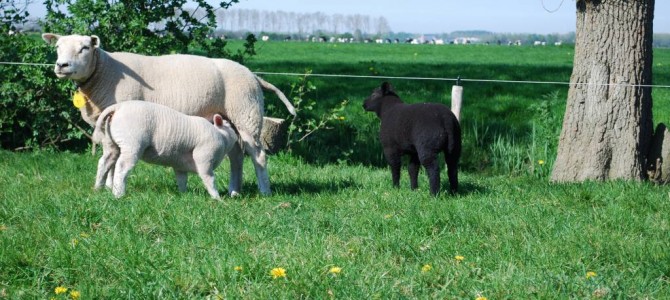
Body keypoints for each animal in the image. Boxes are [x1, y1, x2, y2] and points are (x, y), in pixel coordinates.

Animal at [92, 101, 239, 199]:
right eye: (229, 125)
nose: (238, 135)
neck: (221, 136)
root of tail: (117, 107)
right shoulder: (204, 158)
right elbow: (209, 179)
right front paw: (217, 198)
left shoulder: (180, 165)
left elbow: (182, 180)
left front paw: (184, 195)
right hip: (132, 143)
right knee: (121, 167)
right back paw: (119, 194)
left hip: (110, 143)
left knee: (104, 162)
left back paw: (98, 188)